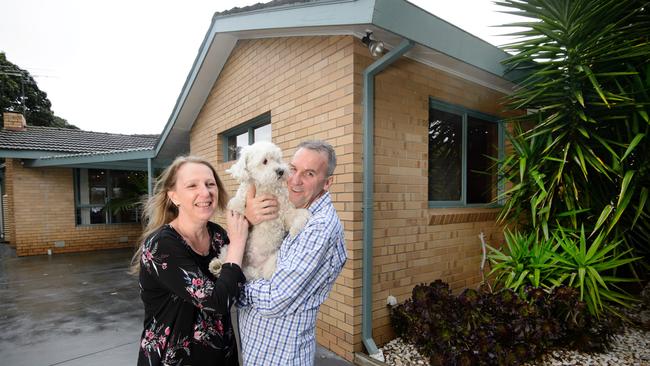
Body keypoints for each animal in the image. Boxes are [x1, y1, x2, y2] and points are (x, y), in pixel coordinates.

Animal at [208, 142, 308, 278]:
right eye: (264, 161)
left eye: (278, 160)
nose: (281, 171)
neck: (264, 188)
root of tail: (252, 267)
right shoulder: (240, 202)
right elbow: (238, 205)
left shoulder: (286, 212)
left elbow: (302, 214)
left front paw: (295, 231)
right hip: (227, 248)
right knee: (224, 260)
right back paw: (216, 266)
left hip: (271, 261)